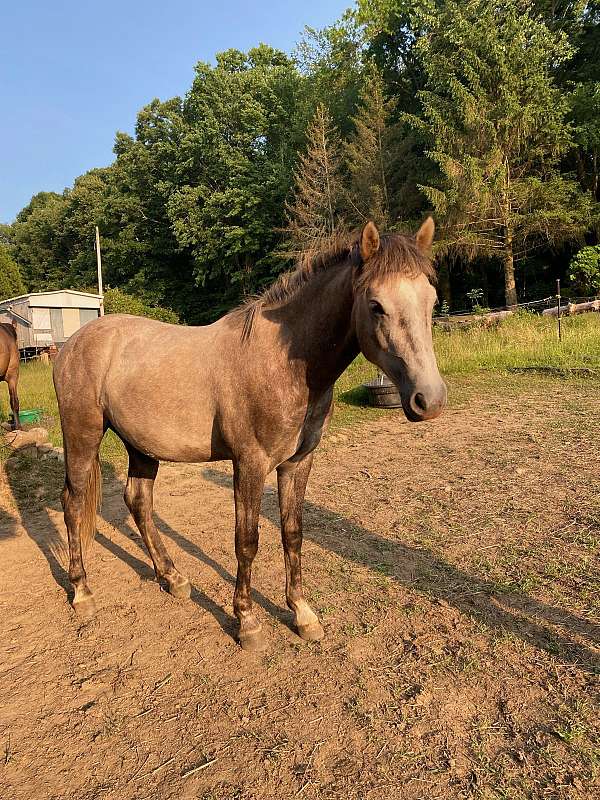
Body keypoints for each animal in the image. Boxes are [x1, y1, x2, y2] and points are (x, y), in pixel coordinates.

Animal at [52, 219, 446, 648]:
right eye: (376, 305)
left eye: (431, 300)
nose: (430, 399)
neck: (283, 363)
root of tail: (71, 344)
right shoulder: (250, 464)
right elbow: (247, 541)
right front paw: (247, 621)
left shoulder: (297, 463)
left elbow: (292, 533)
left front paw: (303, 614)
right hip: (83, 436)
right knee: (72, 505)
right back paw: (82, 592)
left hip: (141, 446)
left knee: (138, 501)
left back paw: (173, 578)